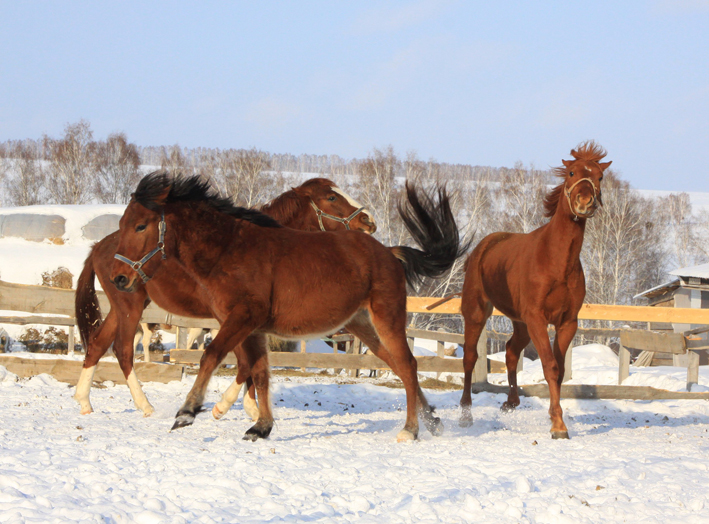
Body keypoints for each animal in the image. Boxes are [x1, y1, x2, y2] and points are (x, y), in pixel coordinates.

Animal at [73, 178, 376, 416]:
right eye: (332, 197)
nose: (369, 221)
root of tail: (99, 246)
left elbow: (245, 361)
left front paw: (249, 406)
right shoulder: (232, 318)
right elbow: (242, 361)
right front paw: (243, 407)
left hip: (120, 306)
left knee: (98, 344)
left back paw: (84, 401)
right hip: (130, 305)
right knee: (123, 350)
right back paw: (144, 405)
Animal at [109, 173, 464, 442]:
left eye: (141, 226)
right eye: (125, 224)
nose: (120, 277)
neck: (230, 251)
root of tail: (388, 253)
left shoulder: (242, 319)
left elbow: (213, 356)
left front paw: (189, 411)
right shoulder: (250, 328)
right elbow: (259, 372)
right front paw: (260, 426)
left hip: (386, 318)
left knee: (408, 365)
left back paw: (411, 429)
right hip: (363, 326)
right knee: (399, 366)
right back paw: (431, 420)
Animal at [460, 140, 608, 438]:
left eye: (599, 177)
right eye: (572, 173)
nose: (584, 202)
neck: (556, 261)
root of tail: (483, 247)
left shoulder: (566, 322)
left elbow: (559, 370)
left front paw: (555, 419)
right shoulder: (538, 319)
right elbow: (550, 366)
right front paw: (559, 425)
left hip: (520, 324)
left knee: (510, 351)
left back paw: (511, 402)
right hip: (477, 312)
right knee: (470, 357)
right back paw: (466, 415)